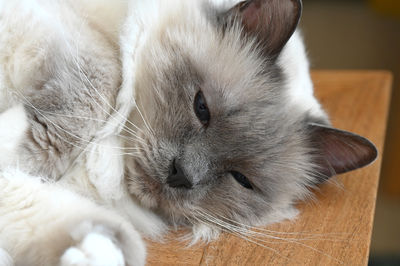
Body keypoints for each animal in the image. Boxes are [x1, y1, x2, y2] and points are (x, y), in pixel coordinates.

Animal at [0, 0, 376, 266]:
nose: (179, 174)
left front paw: (98, 251)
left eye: (241, 179)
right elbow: (101, 82)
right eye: (201, 108)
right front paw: (19, 142)